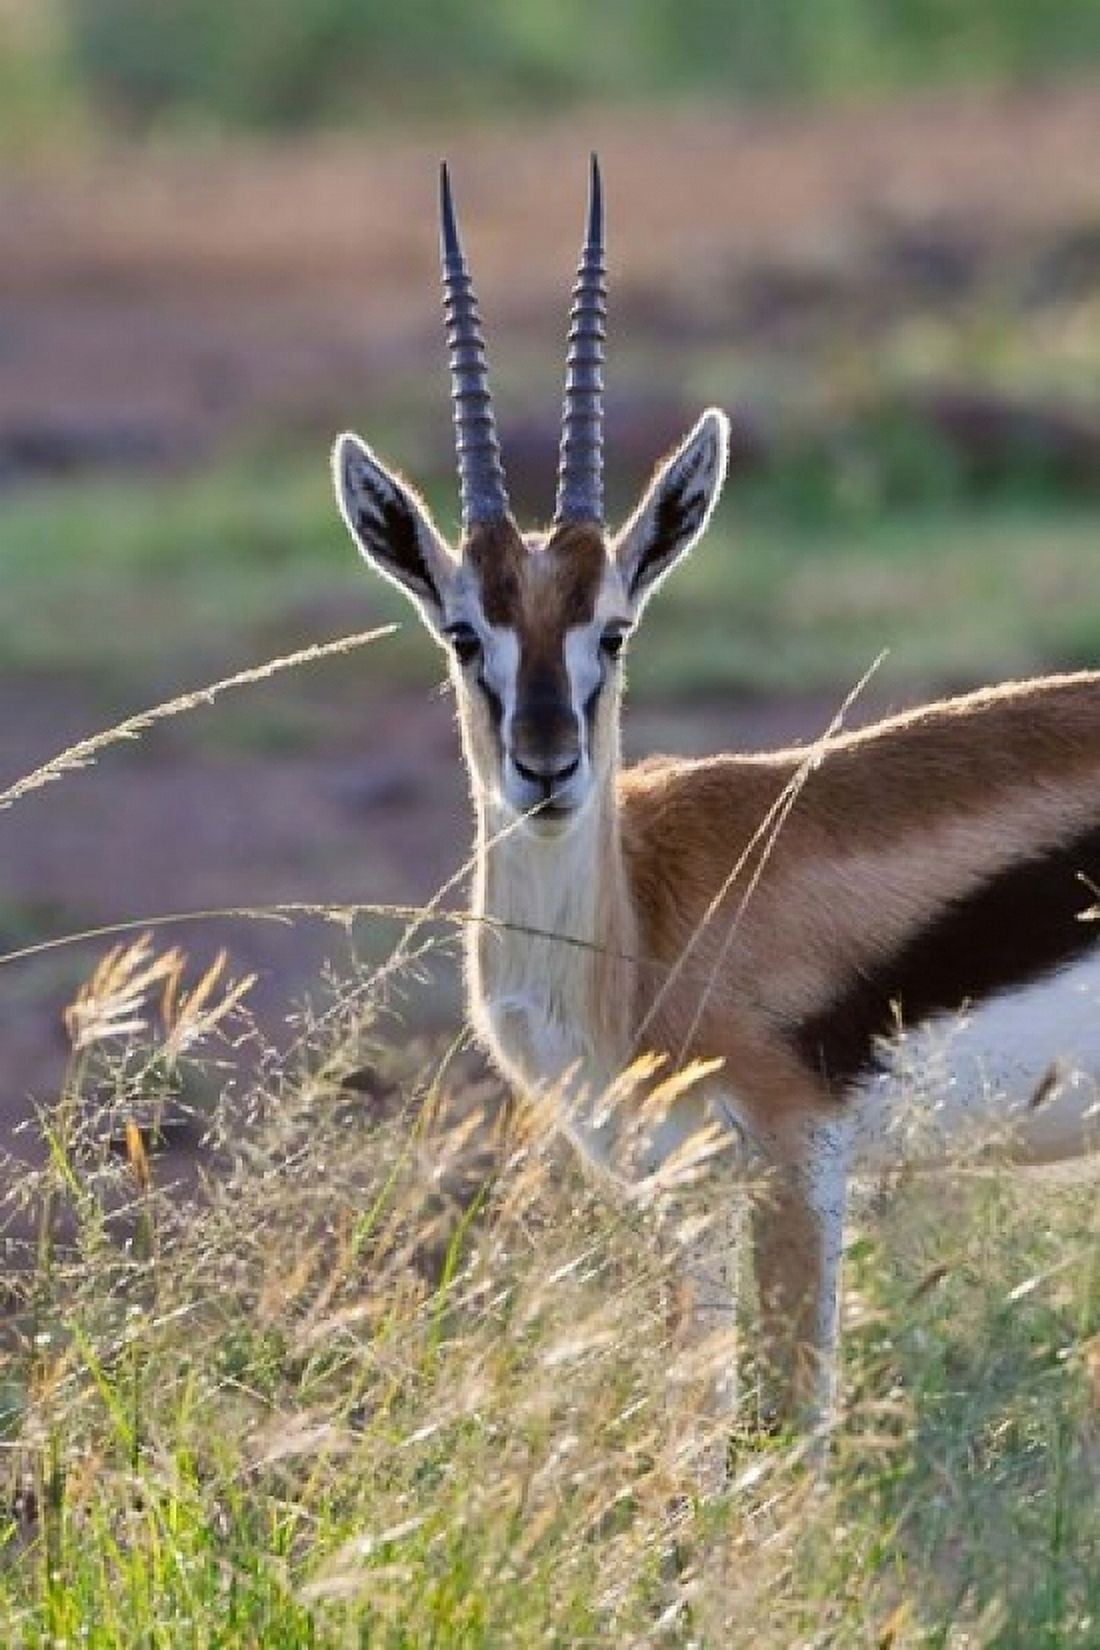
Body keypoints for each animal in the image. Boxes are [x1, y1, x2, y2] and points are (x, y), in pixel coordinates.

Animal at [331, 157, 1100, 1437]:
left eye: (613, 629)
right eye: (462, 634)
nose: (547, 766)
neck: (631, 932)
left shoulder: (792, 1163)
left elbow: (786, 1432)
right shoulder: (680, 1195)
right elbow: (693, 1435)